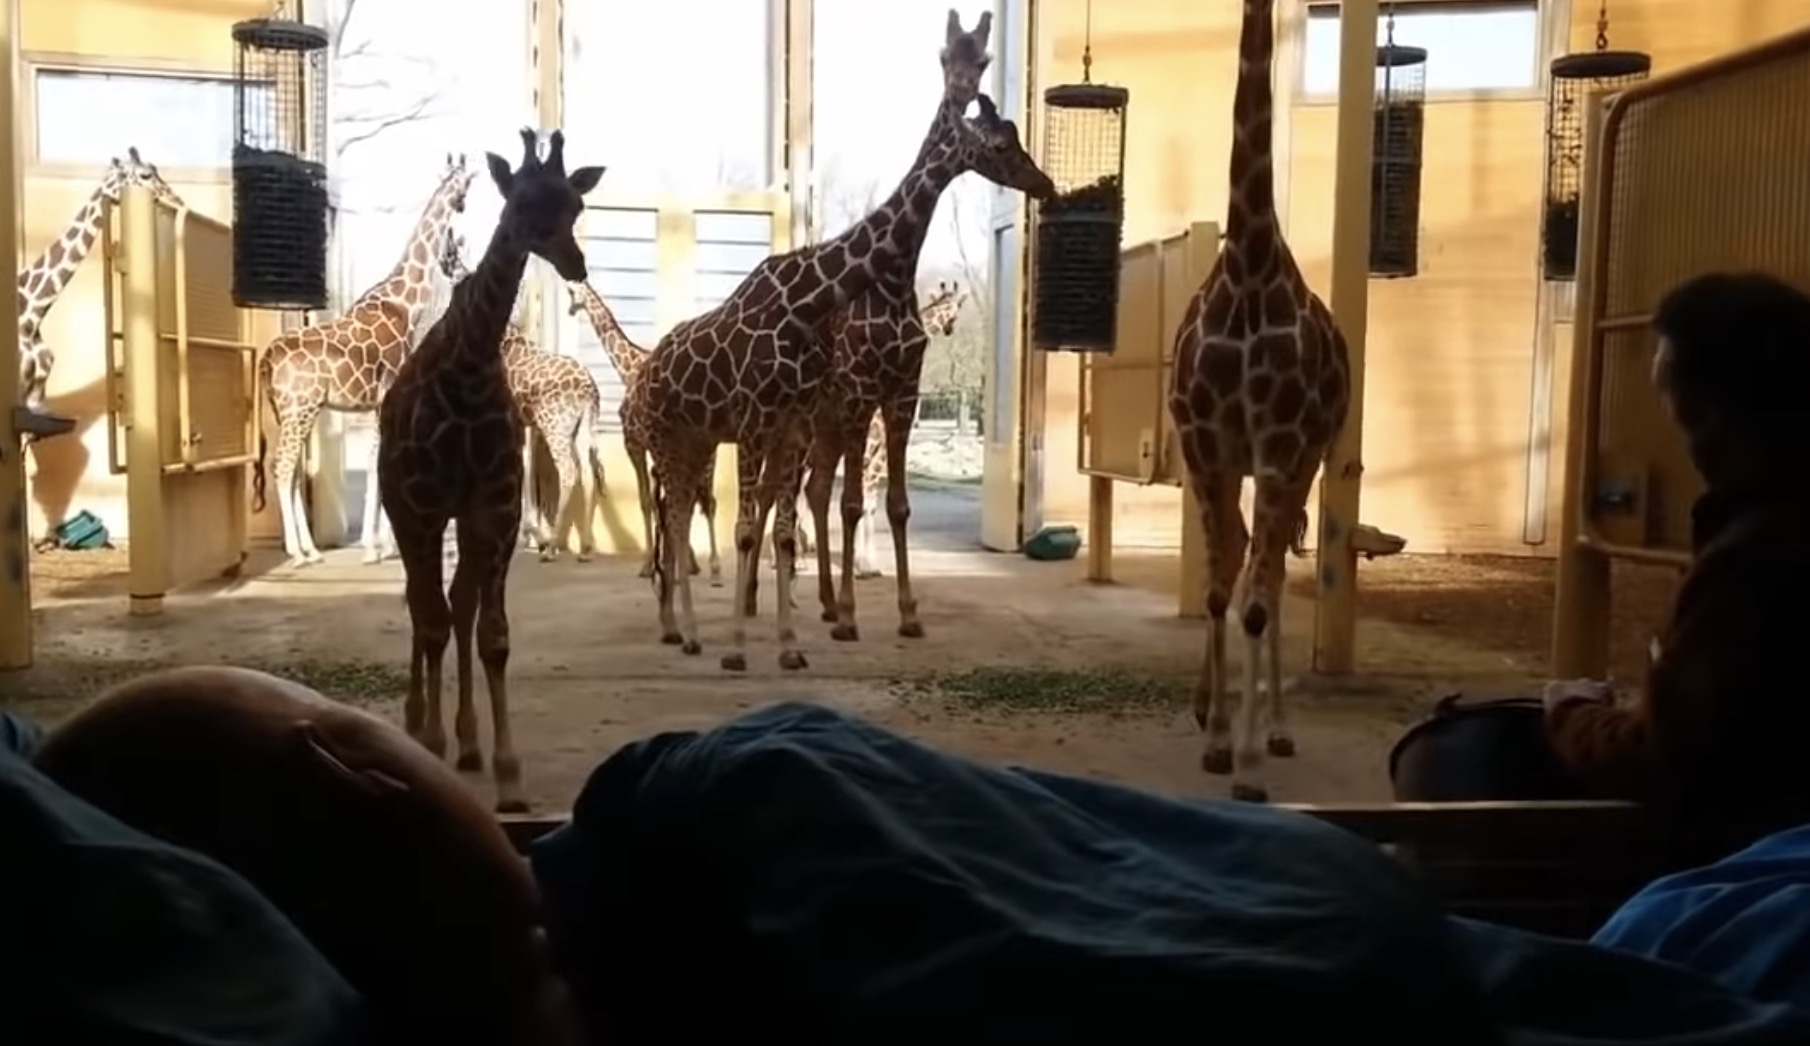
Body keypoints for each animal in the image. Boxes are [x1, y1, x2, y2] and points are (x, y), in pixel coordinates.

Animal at [251, 154, 476, 569]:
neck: (406, 304)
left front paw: (382, 545)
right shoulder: (385, 399)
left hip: (294, 411)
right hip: (299, 408)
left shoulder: (379, 403)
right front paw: (375, 548)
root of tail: (268, 357)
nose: (462, 206)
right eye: (464, 186)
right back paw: (298, 553)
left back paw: (311, 549)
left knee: (291, 470)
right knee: (283, 467)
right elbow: (377, 466)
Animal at [436, 232, 607, 563]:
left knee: (569, 472)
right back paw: (584, 547)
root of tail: (590, 390)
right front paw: (531, 535)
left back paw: (553, 547)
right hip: (581, 428)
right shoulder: (524, 421)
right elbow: (526, 467)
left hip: (556, 426)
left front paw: (533, 537)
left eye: (448, 259)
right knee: (588, 472)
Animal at [564, 278, 722, 584]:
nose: (570, 310)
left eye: (571, 293)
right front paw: (677, 561)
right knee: (702, 499)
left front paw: (650, 564)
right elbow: (659, 501)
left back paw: (716, 569)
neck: (629, 370)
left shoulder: (633, 444)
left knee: (708, 501)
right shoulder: (650, 449)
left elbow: (647, 501)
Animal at [799, 96, 1048, 643]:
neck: (894, 286)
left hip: (824, 422)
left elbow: (896, 505)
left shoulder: (902, 397)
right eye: (1000, 144)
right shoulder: (861, 396)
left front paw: (908, 613)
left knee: (816, 489)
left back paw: (821, 600)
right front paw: (850, 614)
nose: (1043, 183)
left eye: (1017, 134)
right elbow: (854, 504)